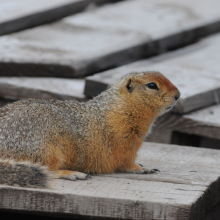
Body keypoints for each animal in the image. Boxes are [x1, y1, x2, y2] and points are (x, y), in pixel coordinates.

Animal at [0, 72, 180, 187]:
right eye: (152, 85)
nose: (178, 95)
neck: (122, 107)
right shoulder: (127, 142)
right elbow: (127, 162)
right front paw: (142, 168)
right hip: (45, 149)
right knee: (48, 169)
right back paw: (72, 173)